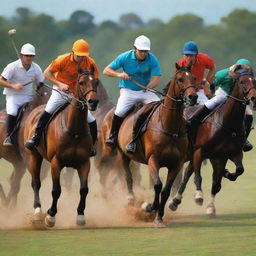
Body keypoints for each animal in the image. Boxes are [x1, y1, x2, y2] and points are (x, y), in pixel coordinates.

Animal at [22, 70, 98, 228]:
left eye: (96, 82)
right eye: (81, 82)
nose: (93, 102)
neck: (74, 129)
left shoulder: (84, 163)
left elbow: (84, 189)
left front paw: (80, 216)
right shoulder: (56, 162)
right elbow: (56, 190)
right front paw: (50, 216)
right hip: (34, 156)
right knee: (36, 183)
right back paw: (37, 212)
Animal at [100, 64, 198, 226]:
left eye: (193, 77)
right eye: (180, 79)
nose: (193, 97)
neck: (170, 127)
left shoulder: (176, 164)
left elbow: (166, 190)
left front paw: (159, 216)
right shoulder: (153, 159)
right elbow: (157, 185)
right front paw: (149, 206)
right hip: (120, 153)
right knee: (126, 176)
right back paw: (130, 199)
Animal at [168, 71, 256, 216]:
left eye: (254, 81)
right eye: (242, 82)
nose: (253, 98)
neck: (228, 124)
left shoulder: (226, 155)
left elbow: (231, 175)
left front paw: (211, 207)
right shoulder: (200, 151)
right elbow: (198, 177)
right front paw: (199, 196)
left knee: (187, 174)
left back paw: (175, 201)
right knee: (188, 174)